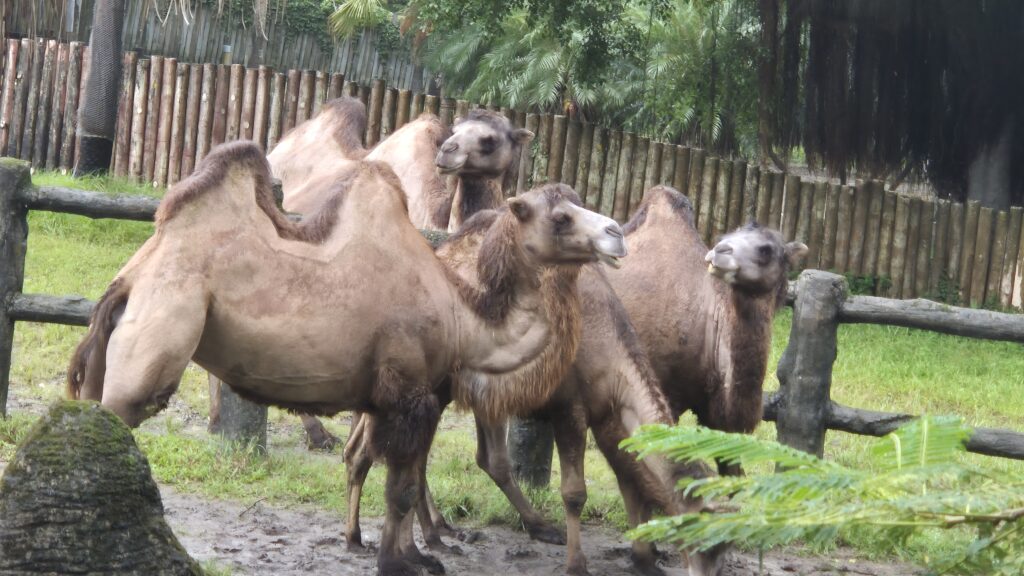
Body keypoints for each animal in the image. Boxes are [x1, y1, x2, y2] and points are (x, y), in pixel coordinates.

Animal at [66, 141, 627, 576]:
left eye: (578, 203)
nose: (616, 232)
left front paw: (414, 555)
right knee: (116, 422)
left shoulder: (400, 399)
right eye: (560, 218)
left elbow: (394, 477)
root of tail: (128, 280)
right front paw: (396, 562)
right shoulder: (407, 391)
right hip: (157, 336)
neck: (462, 316)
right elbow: (400, 487)